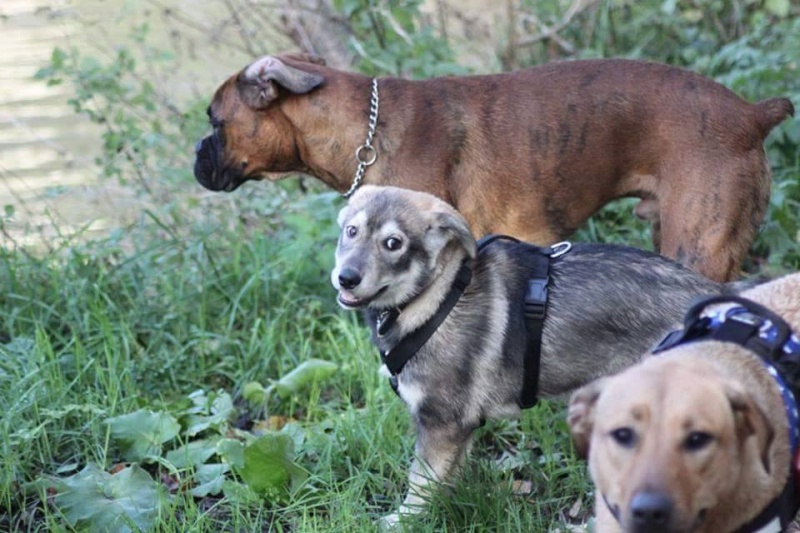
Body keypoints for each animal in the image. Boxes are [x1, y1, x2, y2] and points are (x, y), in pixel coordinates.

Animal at [330, 184, 736, 524]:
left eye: (393, 243)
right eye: (351, 231)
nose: (345, 277)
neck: (435, 296)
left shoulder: (440, 423)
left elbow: (420, 483)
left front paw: (402, 520)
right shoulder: (459, 429)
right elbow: (445, 479)